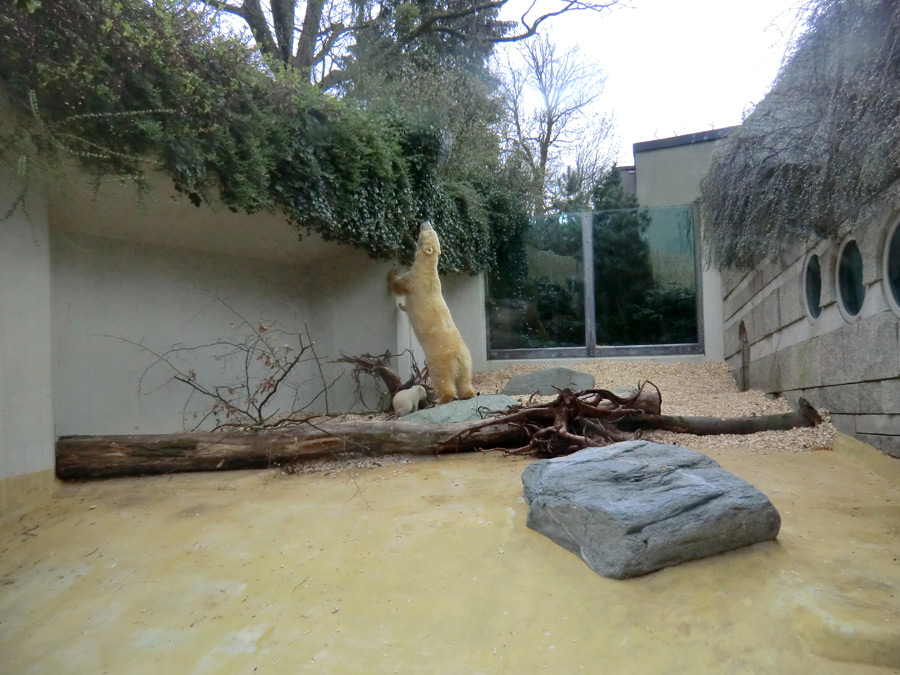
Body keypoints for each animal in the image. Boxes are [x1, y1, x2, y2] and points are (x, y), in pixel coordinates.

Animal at [386, 222, 478, 404]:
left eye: (429, 232)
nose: (425, 221)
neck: (428, 268)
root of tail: (458, 356)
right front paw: (401, 305)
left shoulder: (413, 279)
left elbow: (399, 285)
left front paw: (392, 273)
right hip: (467, 363)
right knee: (464, 380)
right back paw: (468, 393)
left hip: (439, 362)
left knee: (443, 380)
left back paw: (442, 399)